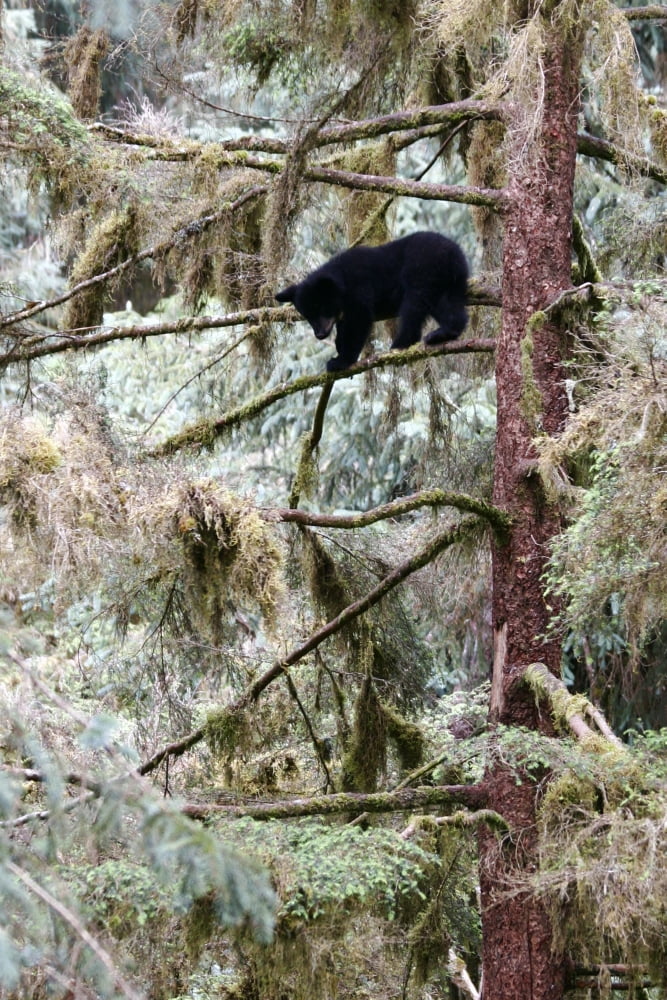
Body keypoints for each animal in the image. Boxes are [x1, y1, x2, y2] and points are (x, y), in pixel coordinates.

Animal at [275, 231, 469, 372]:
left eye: (321, 308)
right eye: (307, 315)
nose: (320, 334)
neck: (342, 280)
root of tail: (452, 252)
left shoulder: (359, 288)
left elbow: (359, 321)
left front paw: (340, 361)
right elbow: (345, 325)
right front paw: (338, 346)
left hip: (422, 270)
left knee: (413, 305)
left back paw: (400, 344)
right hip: (450, 281)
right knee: (449, 306)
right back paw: (444, 333)